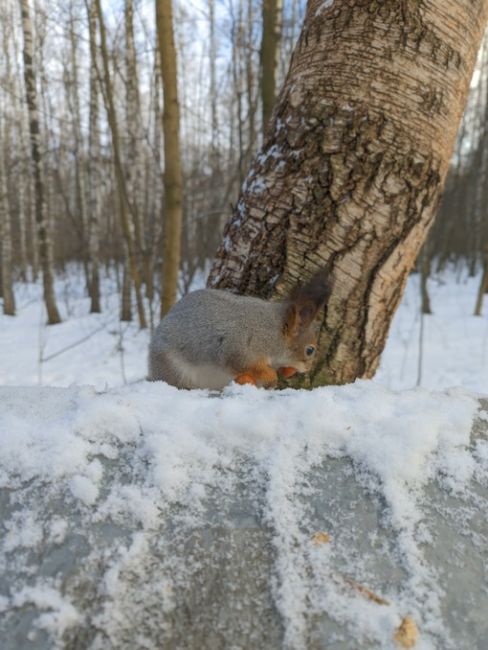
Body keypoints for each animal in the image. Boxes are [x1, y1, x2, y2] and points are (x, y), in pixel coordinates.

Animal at [148, 270, 332, 390]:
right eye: (310, 350)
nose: (308, 369)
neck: (273, 332)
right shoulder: (240, 347)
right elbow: (246, 364)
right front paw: (271, 377)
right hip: (174, 370)